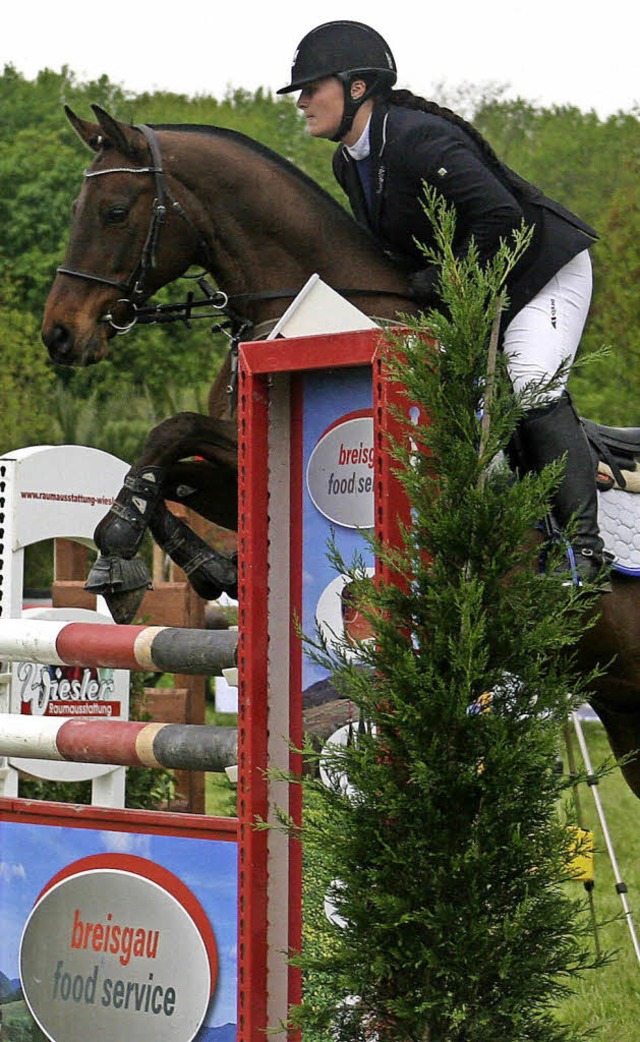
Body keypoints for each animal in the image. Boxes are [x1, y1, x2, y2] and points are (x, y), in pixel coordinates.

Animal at [42, 107, 640, 796]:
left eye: (114, 211)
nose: (59, 335)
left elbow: (172, 429)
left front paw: (118, 547)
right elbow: (167, 467)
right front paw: (196, 566)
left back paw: (581, 565)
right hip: (625, 709)